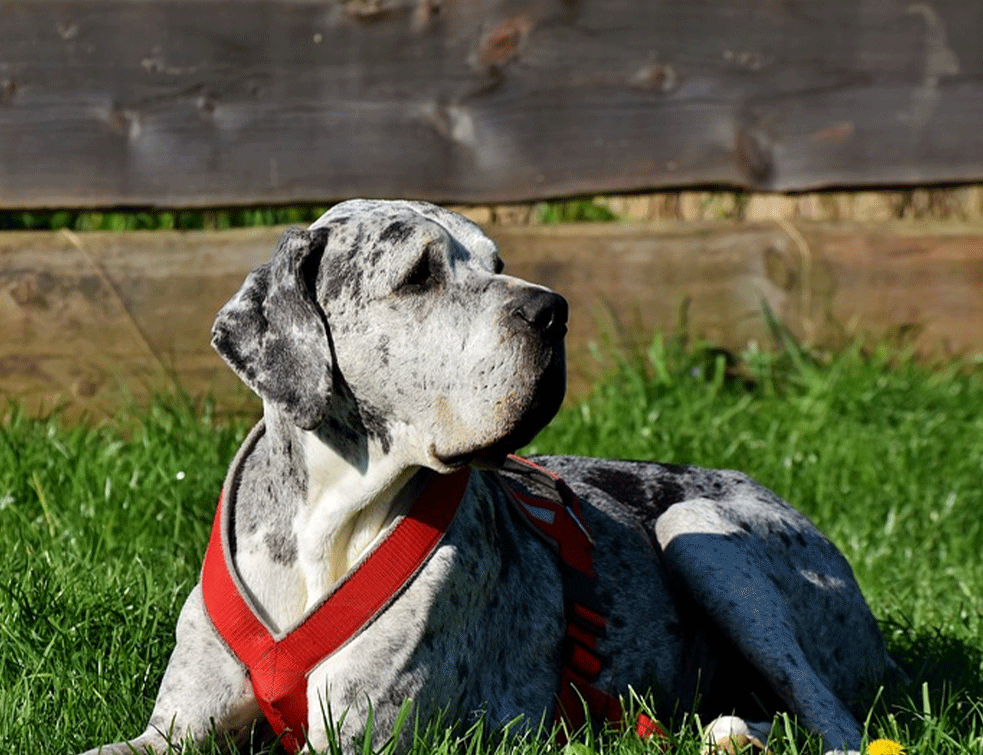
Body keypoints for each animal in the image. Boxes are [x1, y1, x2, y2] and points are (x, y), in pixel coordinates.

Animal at [79, 199, 900, 755]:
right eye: (419, 275)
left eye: (497, 265)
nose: (554, 310)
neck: (326, 521)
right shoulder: (175, 728)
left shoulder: (358, 735)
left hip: (697, 529)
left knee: (832, 718)